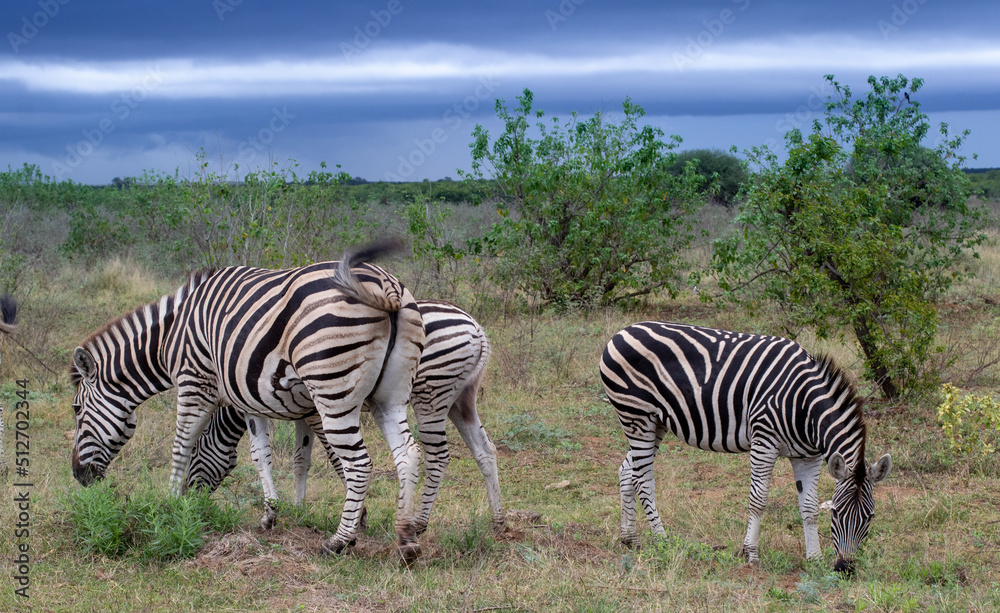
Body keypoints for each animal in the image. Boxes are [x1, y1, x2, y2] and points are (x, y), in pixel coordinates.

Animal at [69, 244, 427, 562]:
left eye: (76, 410)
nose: (79, 477)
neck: (169, 339)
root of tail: (385, 283)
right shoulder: (252, 401)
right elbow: (264, 455)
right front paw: (272, 514)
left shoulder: (194, 380)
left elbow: (181, 444)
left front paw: (169, 502)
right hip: (389, 398)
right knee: (408, 454)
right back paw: (406, 541)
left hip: (332, 389)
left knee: (359, 463)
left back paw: (337, 542)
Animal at [187, 300, 504, 536]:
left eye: (193, 457)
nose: (190, 502)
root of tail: (476, 328)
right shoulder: (305, 413)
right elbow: (301, 460)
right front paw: (299, 509)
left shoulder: (318, 413)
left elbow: (337, 460)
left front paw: (359, 518)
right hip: (460, 400)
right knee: (485, 449)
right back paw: (498, 521)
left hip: (431, 393)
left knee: (438, 456)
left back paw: (417, 523)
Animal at [600, 321, 892, 573]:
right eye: (837, 513)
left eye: (870, 517)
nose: (845, 569)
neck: (805, 407)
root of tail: (621, 332)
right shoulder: (764, 441)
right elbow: (759, 500)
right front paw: (750, 553)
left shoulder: (809, 456)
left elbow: (808, 507)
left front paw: (815, 558)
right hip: (636, 416)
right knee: (643, 480)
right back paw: (663, 540)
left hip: (655, 422)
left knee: (627, 471)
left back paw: (630, 539)